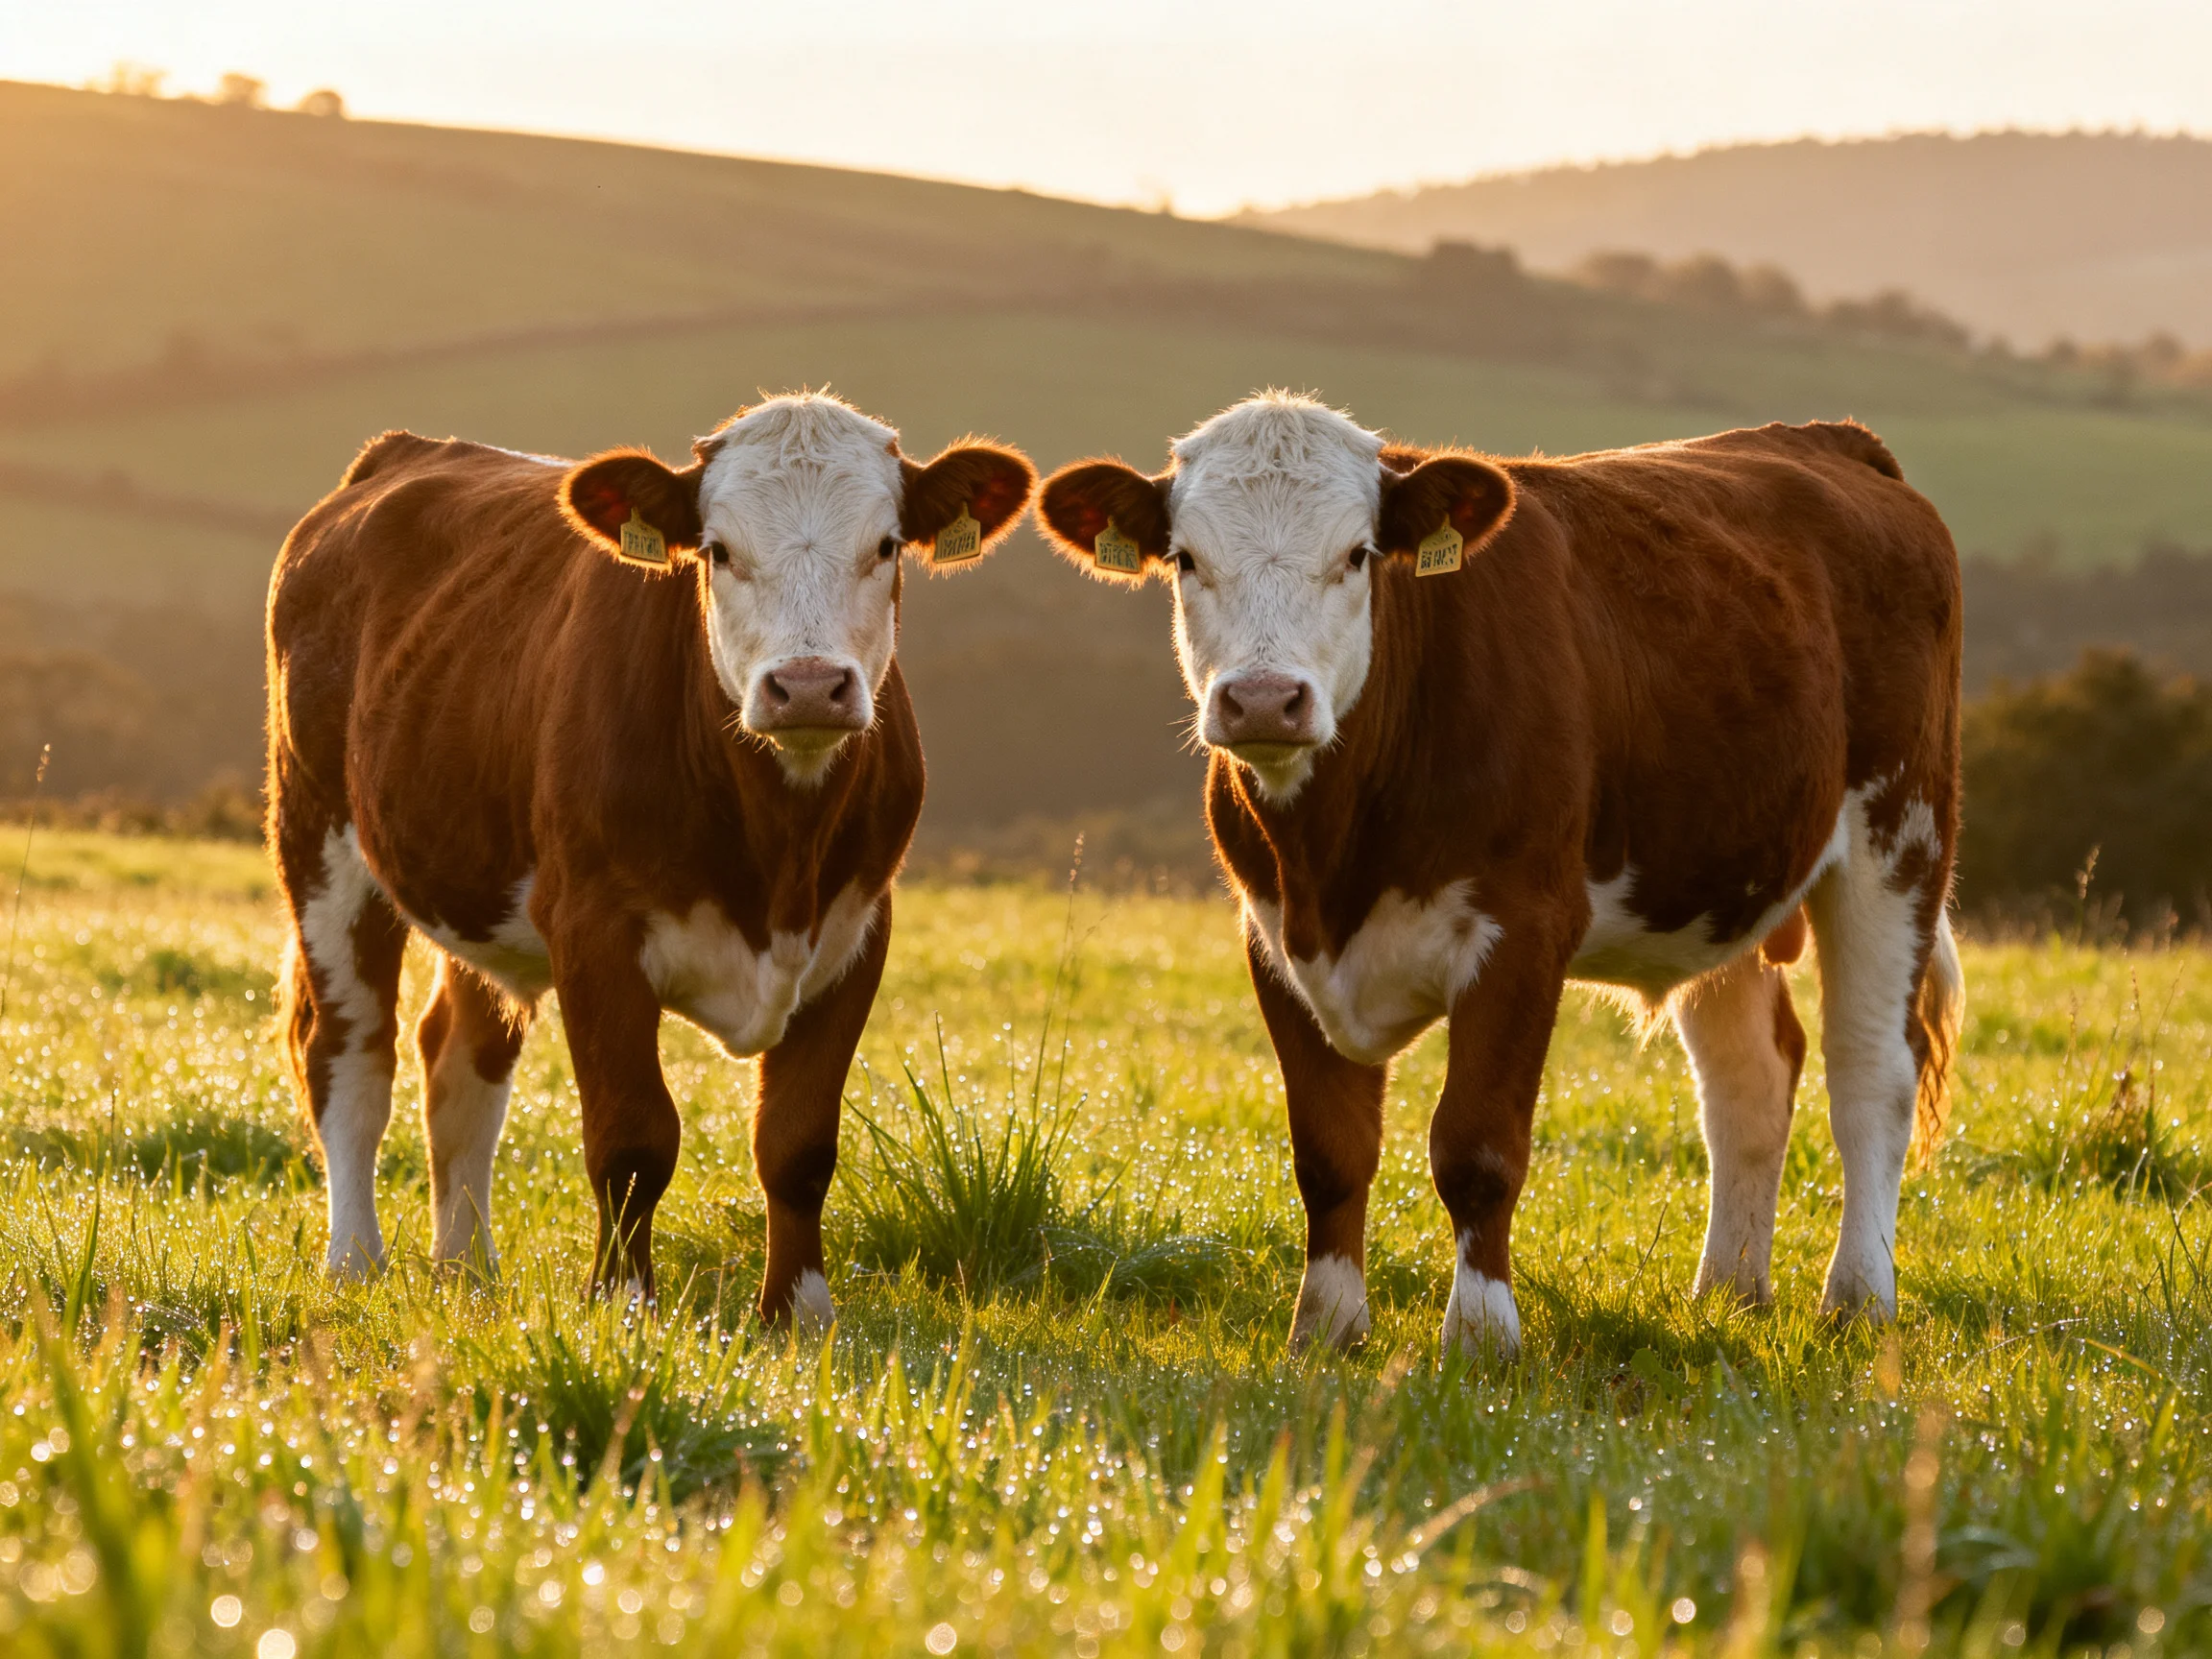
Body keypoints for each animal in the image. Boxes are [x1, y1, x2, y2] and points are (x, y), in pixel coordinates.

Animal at [266, 392, 1035, 1327]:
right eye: (718, 550)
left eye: (886, 545)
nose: (808, 686)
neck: (778, 855)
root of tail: (405, 452)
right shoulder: (593, 926)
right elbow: (632, 1138)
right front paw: (624, 1303)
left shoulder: (857, 930)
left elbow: (799, 1142)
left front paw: (800, 1313)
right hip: (321, 838)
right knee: (348, 1053)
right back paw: (355, 1261)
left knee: (458, 1057)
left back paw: (468, 1268)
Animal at [1036, 392, 1962, 1356]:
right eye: (1186, 558)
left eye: (1357, 554)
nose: (1261, 699)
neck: (1336, 855)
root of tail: (1825, 437)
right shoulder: (1273, 935)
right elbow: (1330, 1149)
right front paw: (1326, 1328)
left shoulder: (1524, 928)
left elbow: (1476, 1147)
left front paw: (1481, 1336)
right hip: (1714, 875)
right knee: (1750, 1078)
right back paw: (1730, 1292)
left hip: (1900, 837)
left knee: (1871, 1075)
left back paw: (1858, 1300)